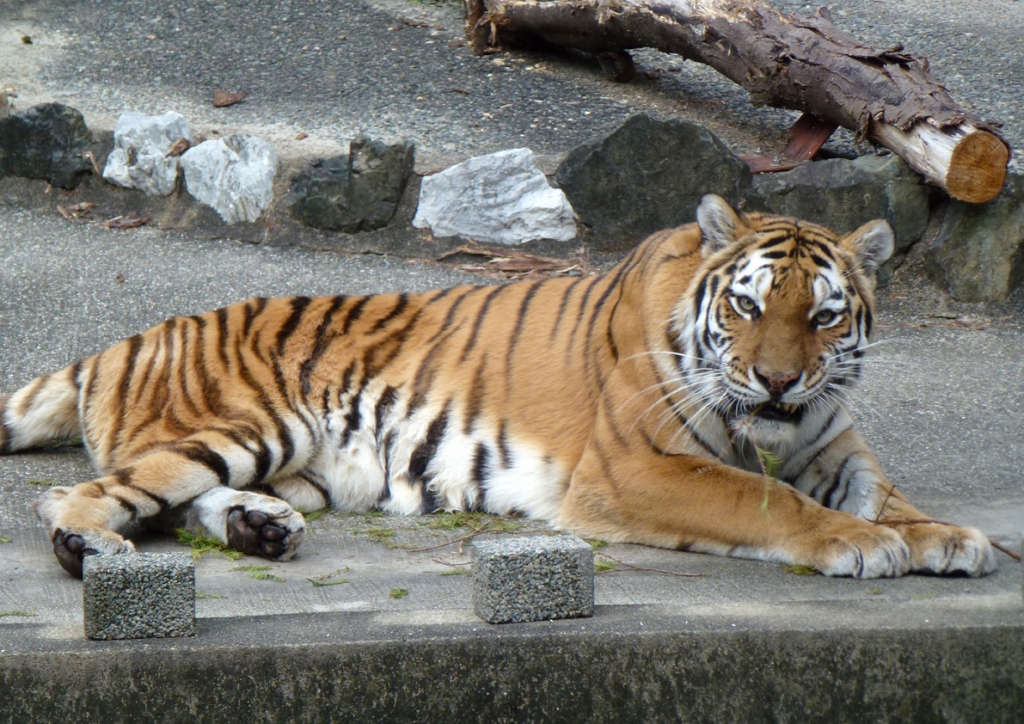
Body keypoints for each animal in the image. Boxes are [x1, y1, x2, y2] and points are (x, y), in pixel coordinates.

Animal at [0, 195, 991, 581]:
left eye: (822, 317)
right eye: (746, 306)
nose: (779, 379)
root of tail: (127, 339)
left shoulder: (830, 442)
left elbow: (883, 494)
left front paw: (950, 539)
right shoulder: (638, 470)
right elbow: (769, 502)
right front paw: (861, 545)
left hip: (295, 464)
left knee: (179, 503)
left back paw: (260, 528)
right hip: (245, 426)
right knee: (84, 493)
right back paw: (92, 550)